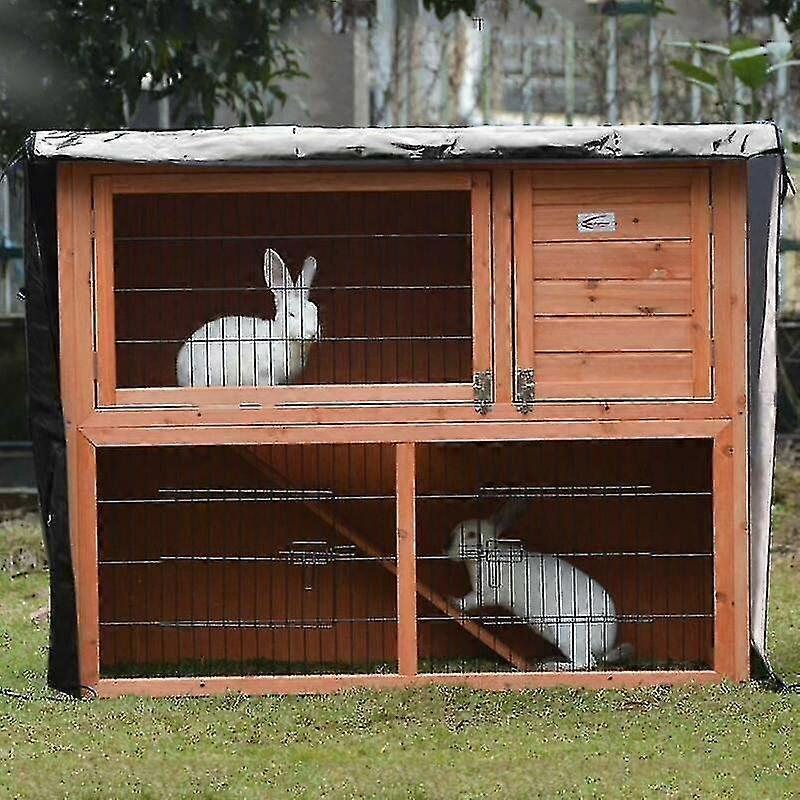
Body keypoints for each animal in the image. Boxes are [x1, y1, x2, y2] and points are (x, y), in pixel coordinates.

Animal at [446, 498, 631, 671]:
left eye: (471, 534)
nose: (446, 548)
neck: (487, 555)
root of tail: (606, 645)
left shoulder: (489, 592)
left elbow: (471, 601)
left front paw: (452, 601)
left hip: (569, 632)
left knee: (585, 663)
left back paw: (552, 665)